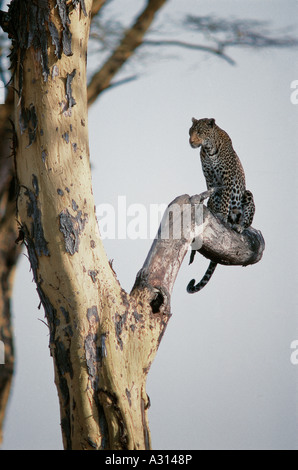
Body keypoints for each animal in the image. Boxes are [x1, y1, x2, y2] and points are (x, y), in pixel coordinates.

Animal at [187, 117, 255, 294]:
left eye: (200, 132)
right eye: (190, 132)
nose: (190, 141)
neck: (209, 149)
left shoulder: (227, 178)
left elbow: (224, 199)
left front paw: (222, 216)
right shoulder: (210, 179)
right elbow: (214, 197)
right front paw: (215, 212)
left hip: (248, 195)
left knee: (247, 221)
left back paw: (238, 225)